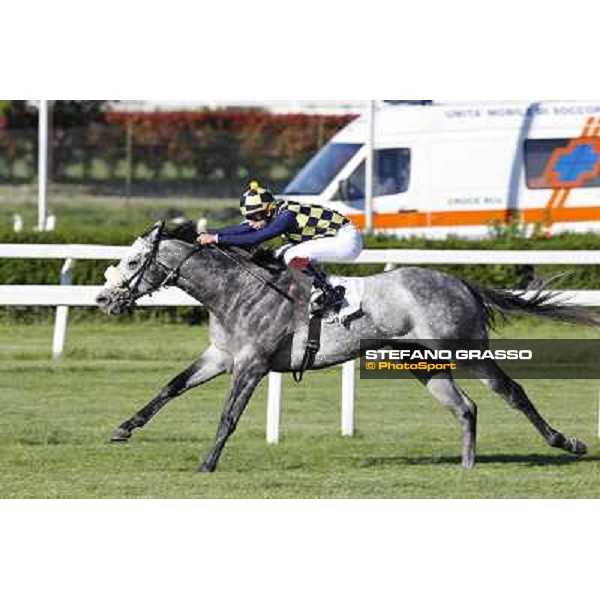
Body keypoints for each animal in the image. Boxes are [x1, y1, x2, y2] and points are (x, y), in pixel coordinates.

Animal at [96, 223, 596, 472]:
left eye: (135, 261)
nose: (103, 298)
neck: (237, 290)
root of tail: (462, 282)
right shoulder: (221, 356)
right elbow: (171, 386)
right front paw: (123, 428)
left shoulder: (252, 363)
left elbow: (228, 416)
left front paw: (207, 463)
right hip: (423, 363)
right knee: (466, 407)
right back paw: (467, 466)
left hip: (468, 350)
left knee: (512, 393)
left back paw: (566, 442)